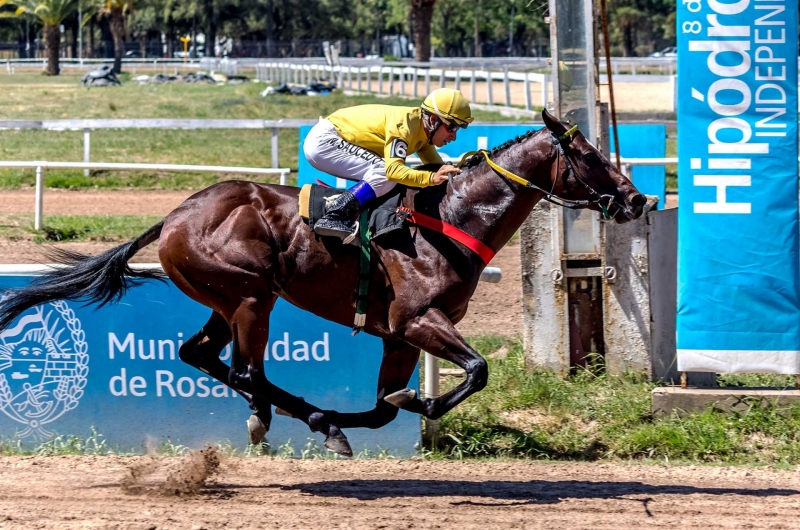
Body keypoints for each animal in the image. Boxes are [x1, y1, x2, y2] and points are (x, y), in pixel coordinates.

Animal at [0, 108, 644, 454]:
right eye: (590, 155)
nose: (638, 199)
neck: (454, 218)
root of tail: (178, 212)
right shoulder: (416, 319)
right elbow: (478, 370)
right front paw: (407, 405)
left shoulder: (397, 335)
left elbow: (385, 407)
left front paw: (387, 408)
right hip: (253, 296)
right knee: (246, 370)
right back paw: (290, 417)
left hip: (225, 300)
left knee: (200, 354)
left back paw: (311, 419)